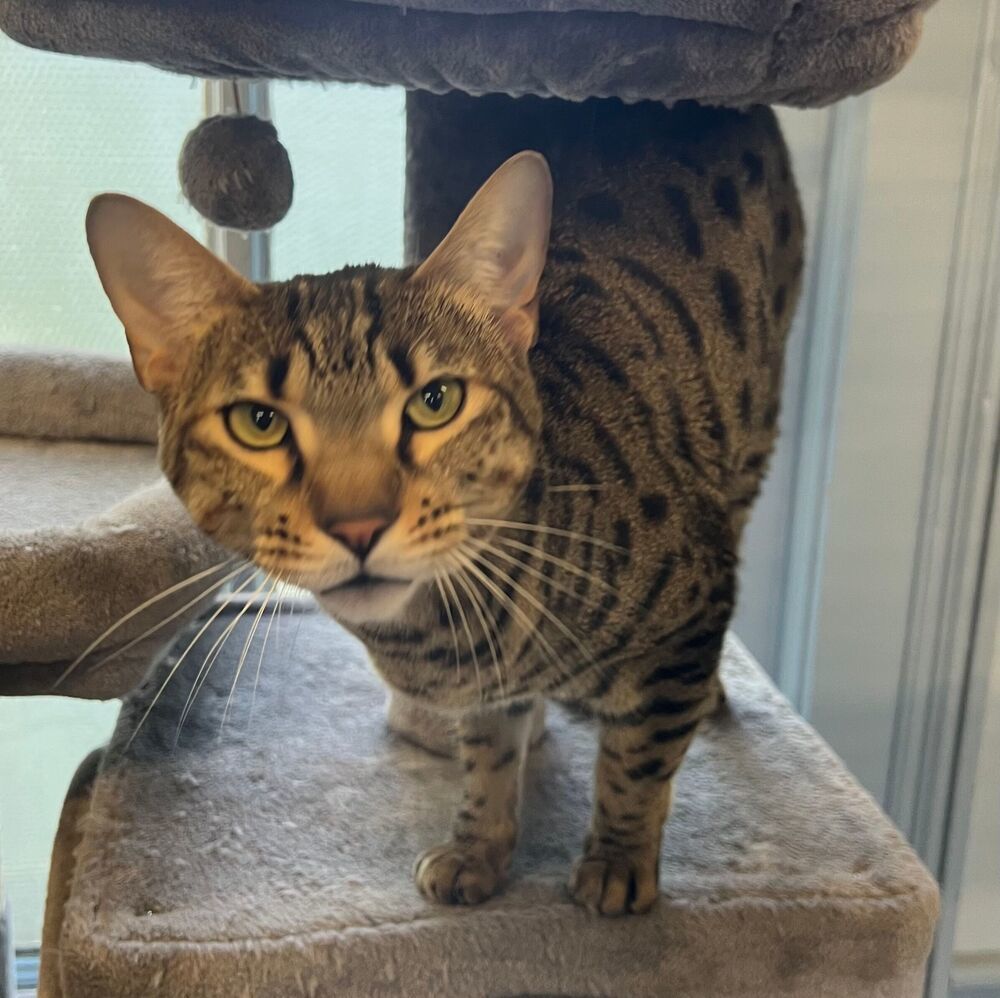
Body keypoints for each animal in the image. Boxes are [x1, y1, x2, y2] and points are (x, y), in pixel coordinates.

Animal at [86, 97, 804, 916]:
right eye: (258, 422)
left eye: (436, 402)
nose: (358, 524)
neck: (443, 635)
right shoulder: (486, 696)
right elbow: (488, 759)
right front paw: (480, 848)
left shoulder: (693, 605)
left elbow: (639, 759)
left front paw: (617, 860)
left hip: (752, 428)